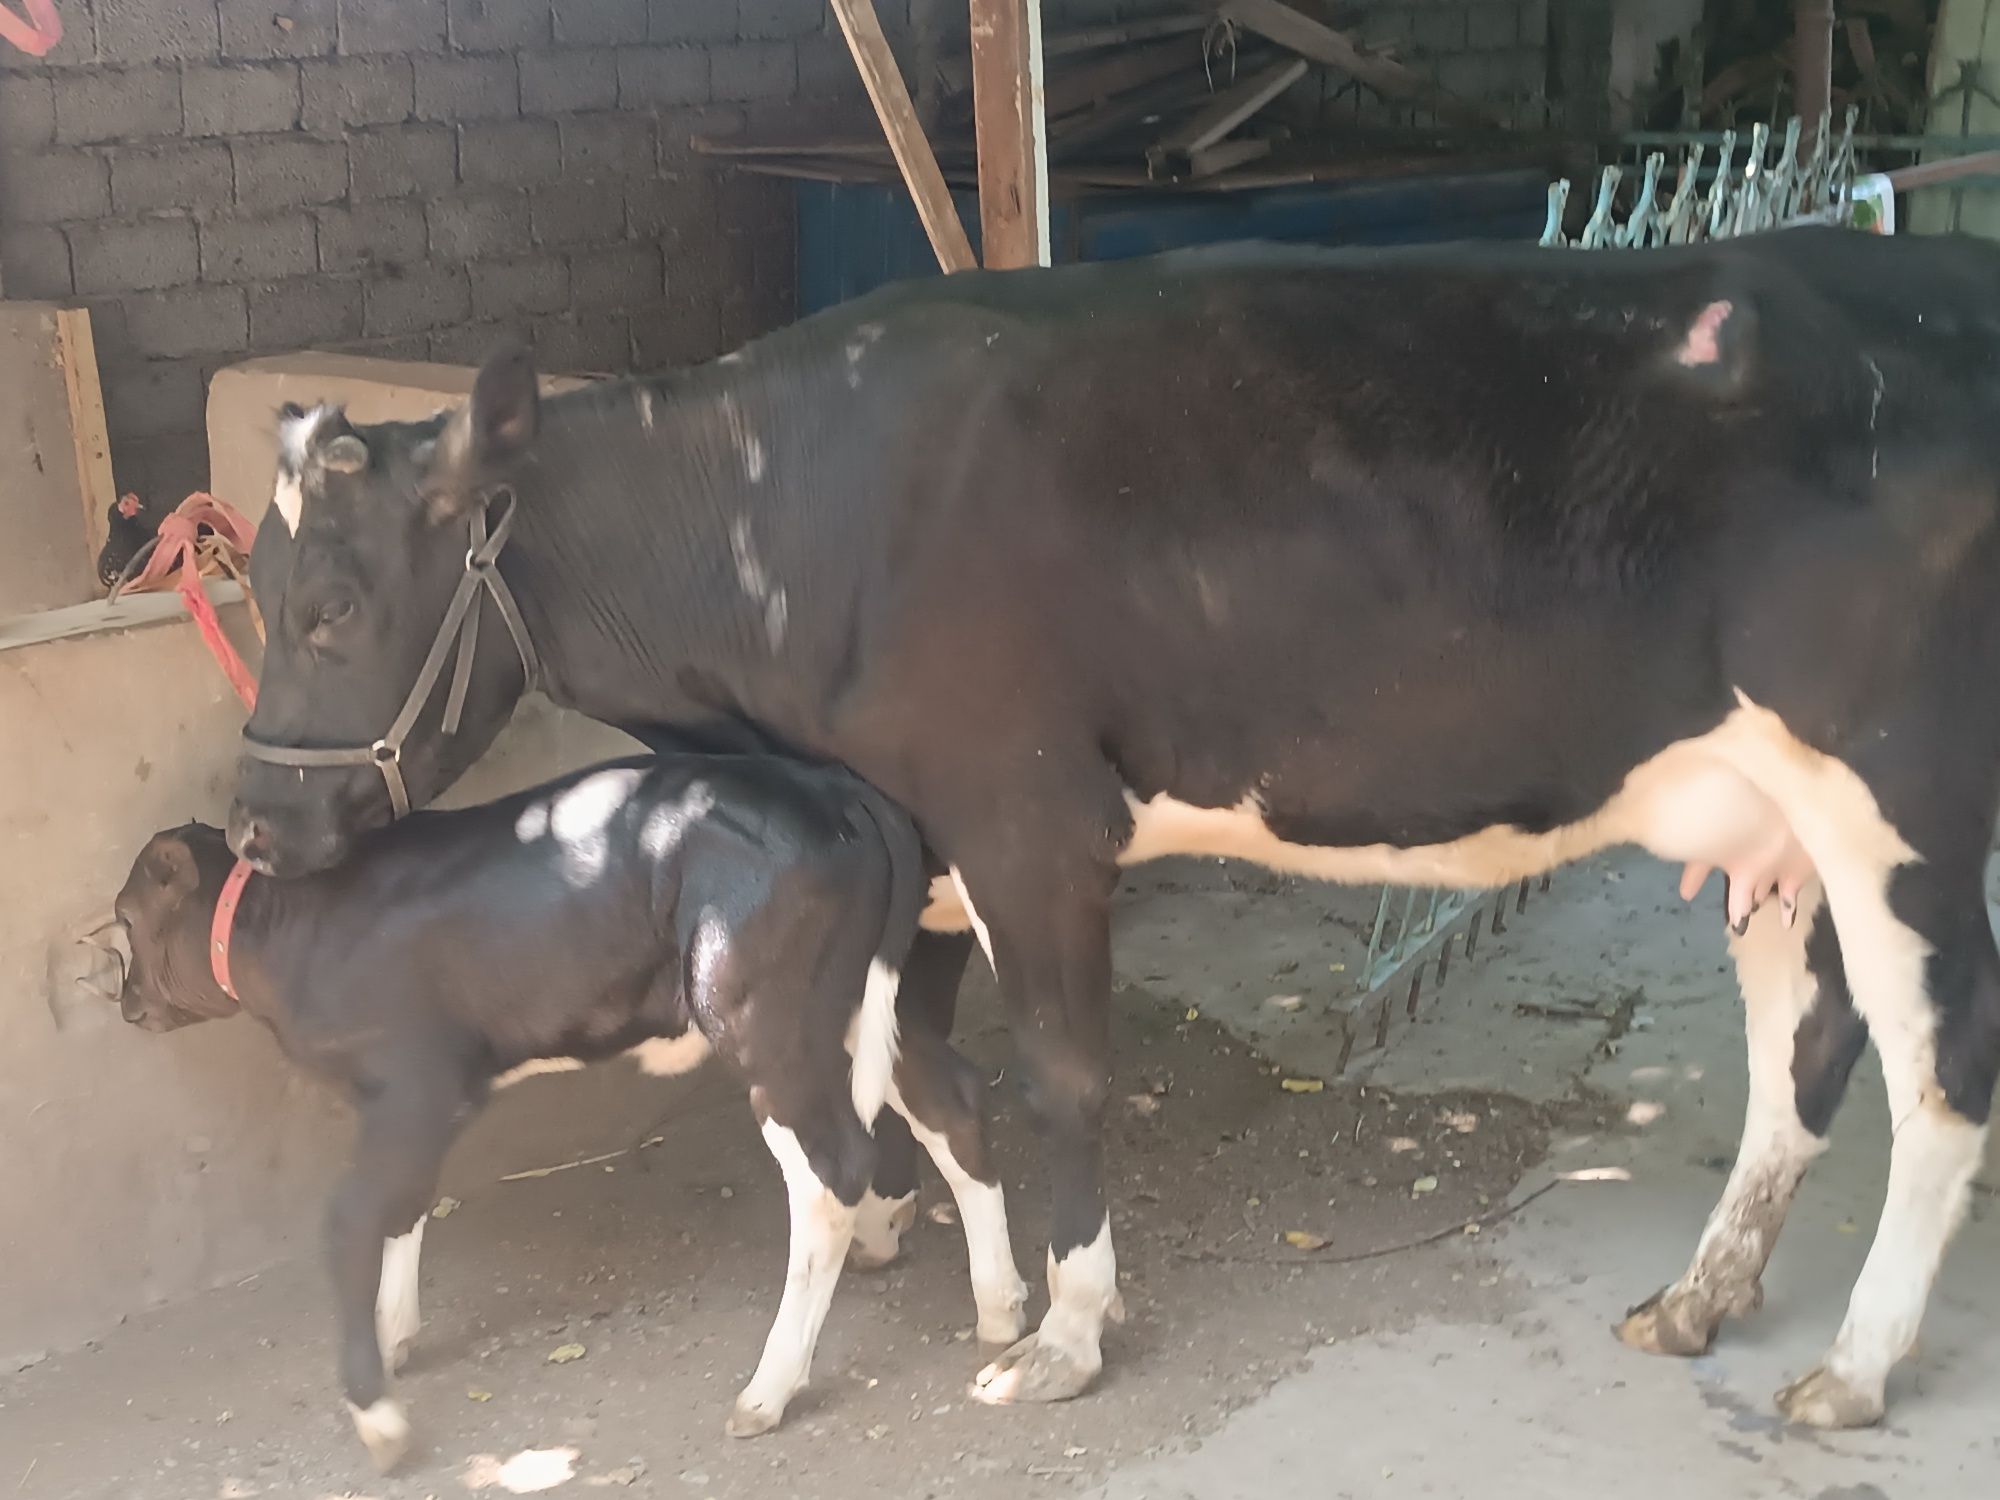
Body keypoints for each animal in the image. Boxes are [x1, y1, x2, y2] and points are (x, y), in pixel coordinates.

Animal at [99, 752, 1024, 1472]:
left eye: (125, 918)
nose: (124, 1002)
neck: (293, 927)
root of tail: (836, 788)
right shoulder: (413, 1102)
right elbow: (405, 1205)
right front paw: (396, 1335)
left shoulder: (417, 1079)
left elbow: (356, 1217)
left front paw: (378, 1415)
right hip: (863, 1003)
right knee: (954, 1104)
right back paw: (1000, 1311)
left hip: (760, 1010)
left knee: (832, 1177)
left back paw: (768, 1390)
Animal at [227, 229, 2000, 1424]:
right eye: (247, 583)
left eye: (330, 604)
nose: (252, 816)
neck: (785, 518)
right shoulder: (910, 848)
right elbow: (913, 1066)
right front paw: (910, 1235)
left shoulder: (1026, 816)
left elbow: (1059, 1076)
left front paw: (1064, 1331)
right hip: (1772, 818)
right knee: (1802, 1052)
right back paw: (1702, 1300)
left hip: (1905, 792)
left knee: (1938, 1071)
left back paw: (1854, 1366)